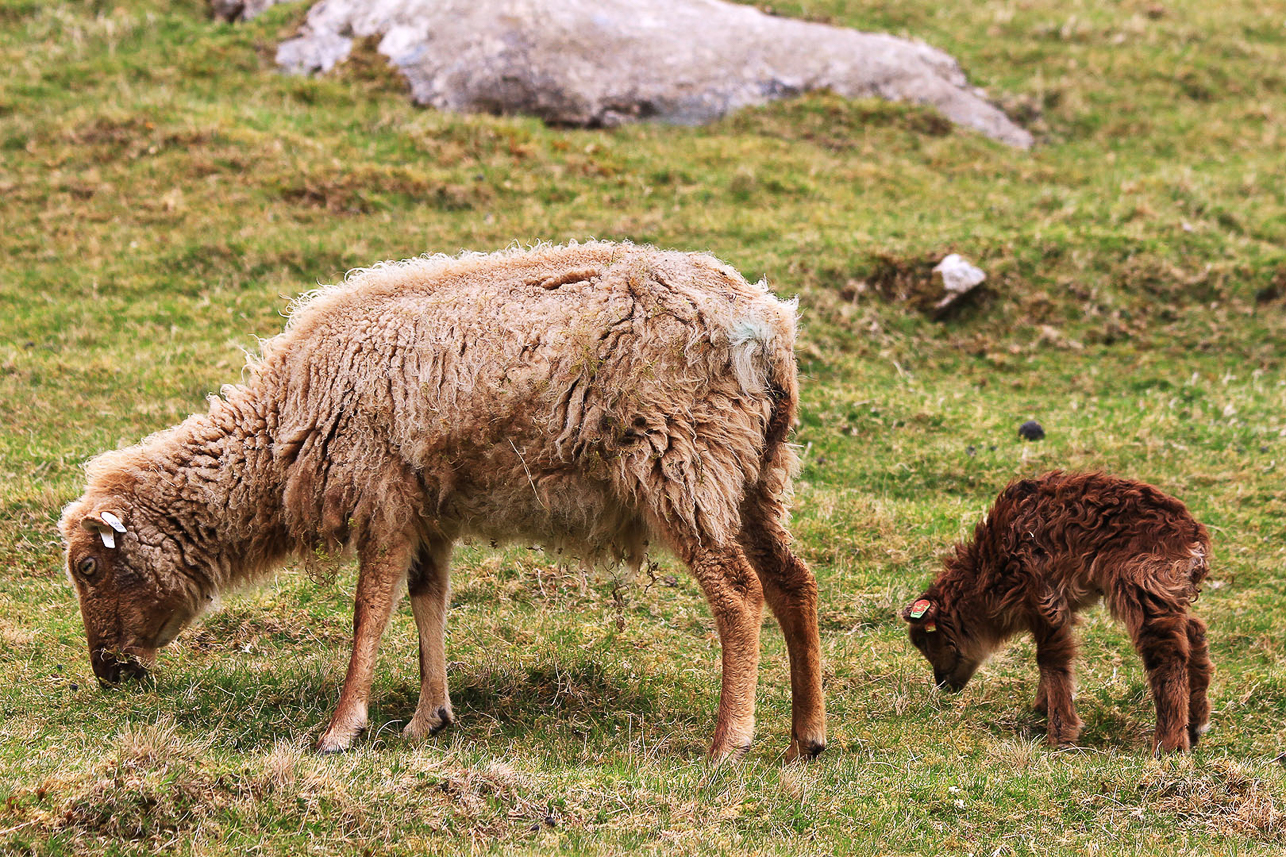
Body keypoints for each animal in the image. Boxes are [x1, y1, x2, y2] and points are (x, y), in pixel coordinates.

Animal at [57, 241, 823, 761]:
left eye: (89, 569)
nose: (109, 673)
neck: (281, 429)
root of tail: (767, 328)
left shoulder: (384, 494)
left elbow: (369, 611)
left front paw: (341, 727)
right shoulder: (432, 507)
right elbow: (429, 599)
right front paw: (430, 717)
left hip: (683, 464)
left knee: (739, 594)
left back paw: (730, 740)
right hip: (757, 475)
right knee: (795, 584)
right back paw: (806, 737)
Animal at [900, 470, 1208, 751]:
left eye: (926, 639)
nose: (942, 685)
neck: (985, 572)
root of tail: (1193, 535)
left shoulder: (1042, 596)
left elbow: (1050, 657)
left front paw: (1059, 734)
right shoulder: (1060, 603)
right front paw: (1042, 706)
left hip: (1144, 582)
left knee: (1167, 655)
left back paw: (1169, 744)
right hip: (1168, 588)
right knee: (1194, 632)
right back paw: (1195, 724)